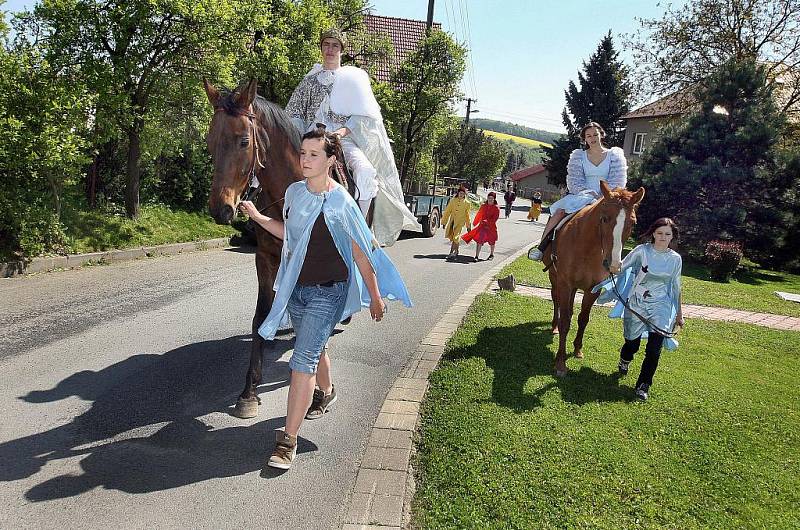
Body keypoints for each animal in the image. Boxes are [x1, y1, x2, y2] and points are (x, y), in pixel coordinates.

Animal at [203, 78, 304, 416]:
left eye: (244, 141)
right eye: (209, 142)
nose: (220, 209)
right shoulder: (265, 258)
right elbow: (259, 316)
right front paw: (249, 390)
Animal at [540, 182, 648, 376]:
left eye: (633, 223)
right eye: (604, 219)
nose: (613, 264)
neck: (588, 248)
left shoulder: (592, 289)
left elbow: (583, 318)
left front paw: (577, 349)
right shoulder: (565, 284)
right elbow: (565, 321)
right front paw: (560, 362)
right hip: (555, 277)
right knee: (556, 300)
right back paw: (554, 326)